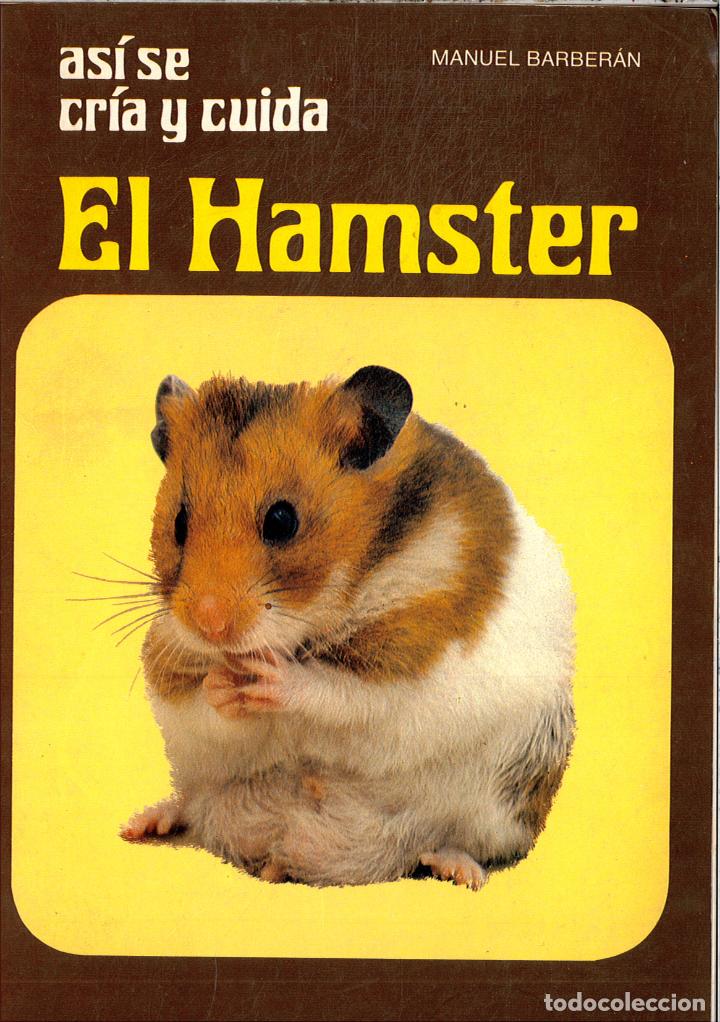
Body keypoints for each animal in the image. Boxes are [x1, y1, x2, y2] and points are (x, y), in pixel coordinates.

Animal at [122, 366, 575, 889]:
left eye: (282, 520)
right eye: (179, 522)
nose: (209, 626)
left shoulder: (411, 654)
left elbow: (341, 694)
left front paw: (269, 676)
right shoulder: (169, 657)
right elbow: (204, 705)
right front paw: (221, 681)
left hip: (506, 799)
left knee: (455, 842)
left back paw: (459, 870)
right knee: (192, 805)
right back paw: (143, 824)